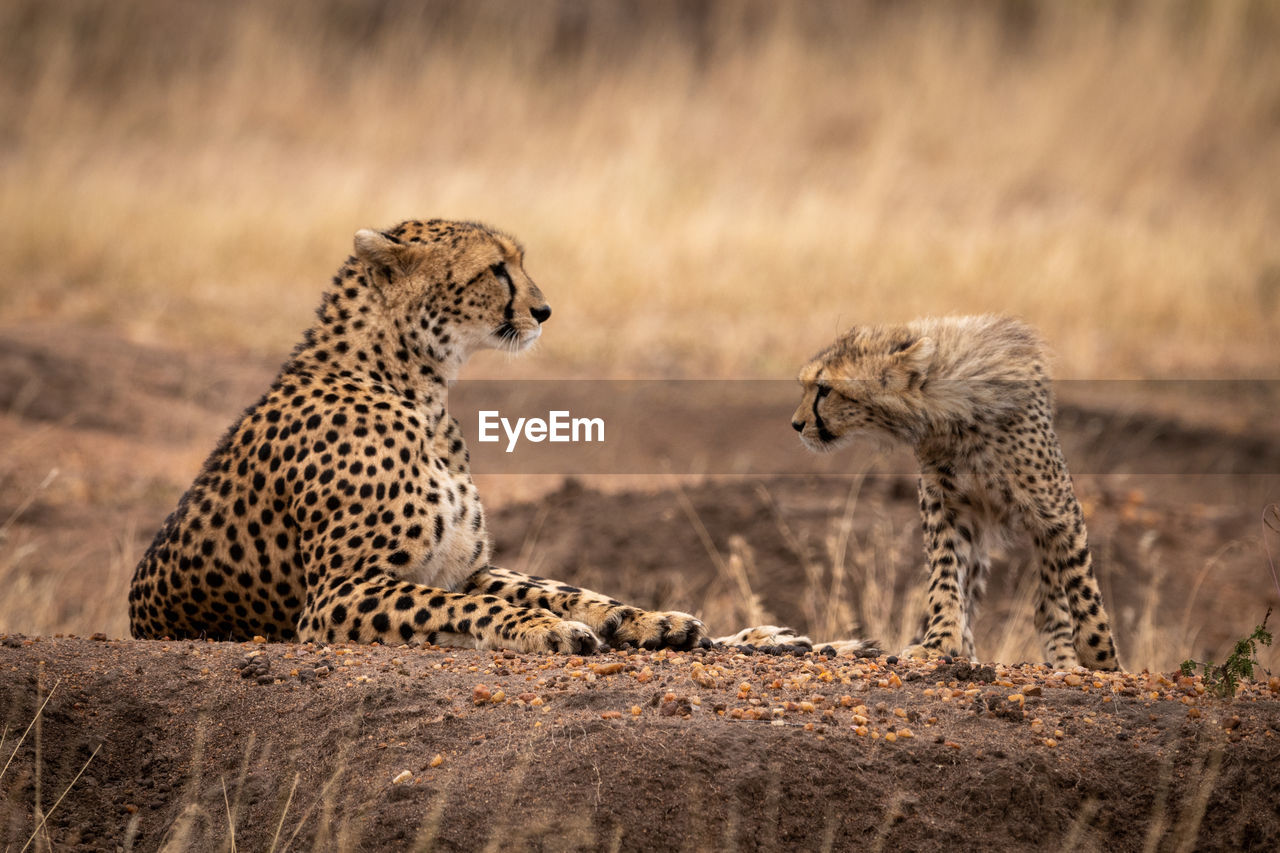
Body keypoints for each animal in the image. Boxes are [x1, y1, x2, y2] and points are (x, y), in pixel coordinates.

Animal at [129, 219, 711, 650]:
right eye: (496, 270)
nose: (544, 311)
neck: (419, 390)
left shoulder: (464, 567)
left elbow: (545, 588)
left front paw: (642, 619)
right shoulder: (335, 595)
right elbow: (468, 604)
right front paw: (543, 629)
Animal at [788, 315, 1121, 666]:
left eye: (825, 389)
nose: (796, 424)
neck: (953, 414)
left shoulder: (1058, 509)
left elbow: (1082, 586)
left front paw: (1101, 658)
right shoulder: (948, 509)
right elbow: (945, 576)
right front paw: (939, 642)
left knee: (1050, 599)